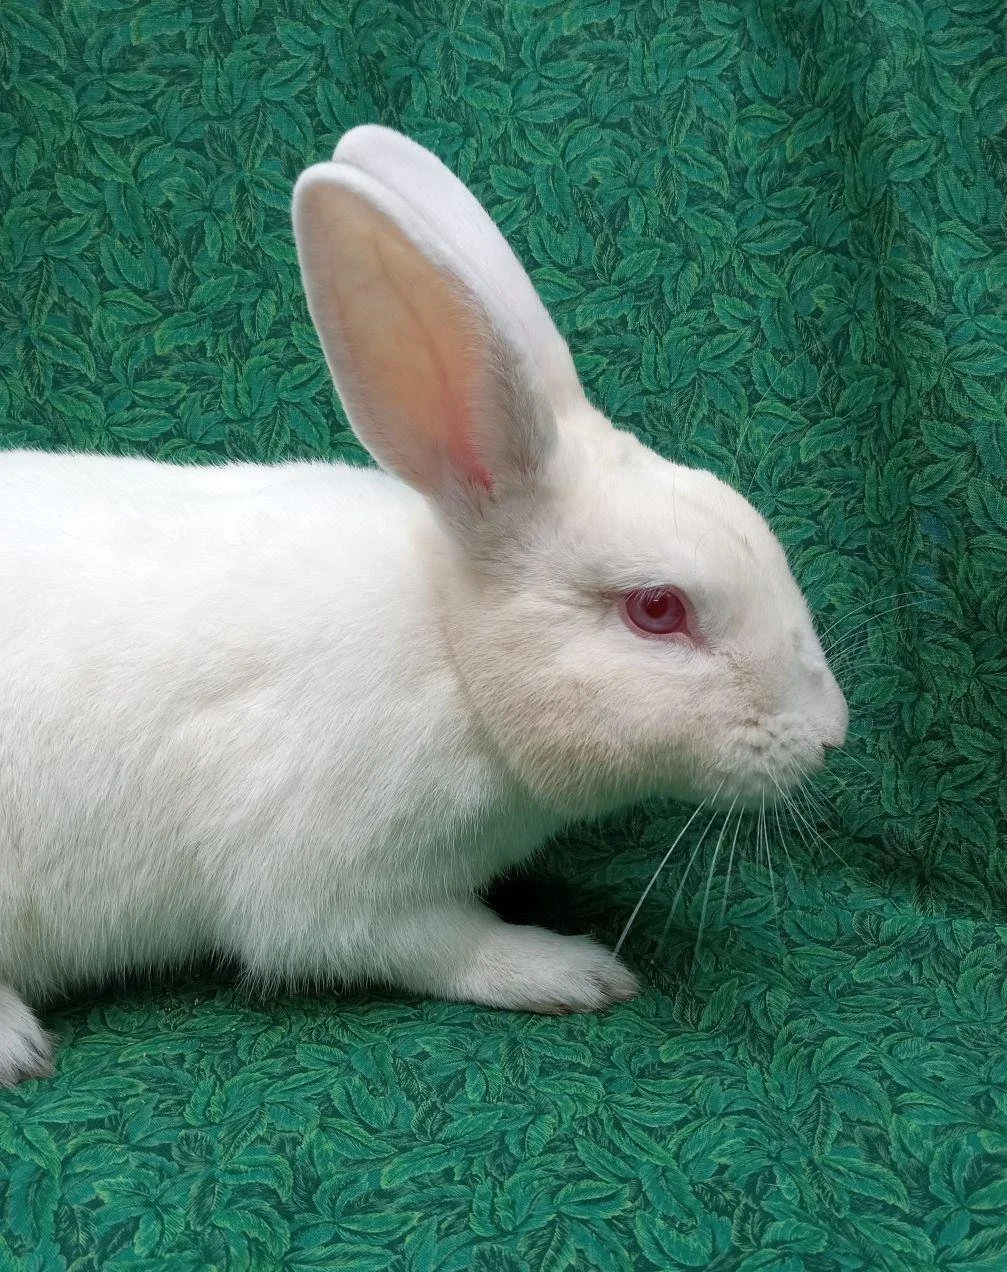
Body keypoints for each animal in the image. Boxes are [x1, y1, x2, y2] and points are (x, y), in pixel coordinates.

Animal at [0, 125, 847, 1085]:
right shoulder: (332, 885)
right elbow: (434, 944)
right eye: (658, 610)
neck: (454, 652)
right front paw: (571, 971)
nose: (831, 733)